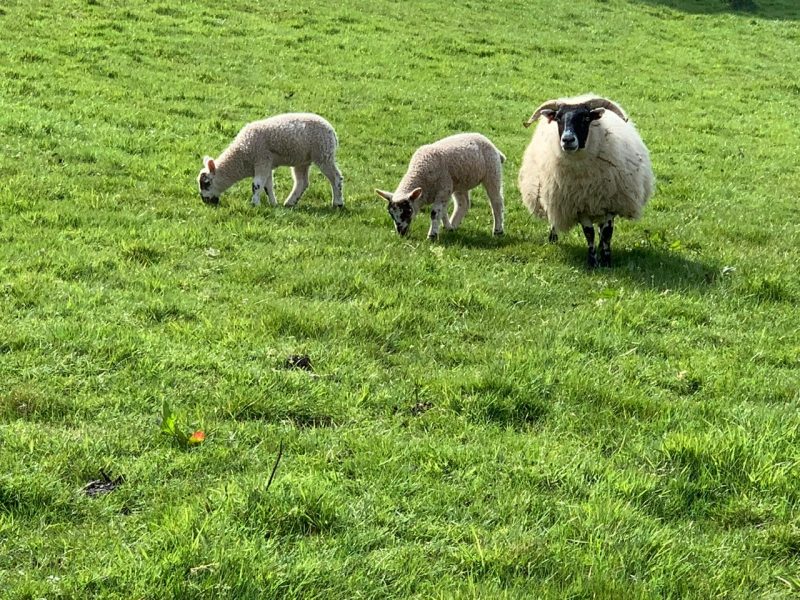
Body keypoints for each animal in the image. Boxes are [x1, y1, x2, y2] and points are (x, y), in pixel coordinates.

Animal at [197, 113, 344, 210]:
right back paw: (290, 202)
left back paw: (338, 203)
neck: (242, 156)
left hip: (324, 154)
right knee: (302, 182)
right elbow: (268, 186)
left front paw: (254, 204)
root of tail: (332, 131)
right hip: (303, 160)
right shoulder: (267, 164)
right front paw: (273, 204)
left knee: (336, 178)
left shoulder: (261, 160)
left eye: (206, 183)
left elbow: (256, 185)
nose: (205, 201)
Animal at [376, 133, 506, 239]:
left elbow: (435, 213)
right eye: (391, 214)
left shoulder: (443, 190)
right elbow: (442, 211)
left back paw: (498, 231)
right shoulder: (445, 191)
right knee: (463, 204)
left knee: (496, 202)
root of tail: (493, 146)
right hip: (460, 182)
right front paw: (447, 227)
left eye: (408, 211)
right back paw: (453, 226)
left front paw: (432, 235)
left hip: (493, 173)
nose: (401, 233)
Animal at [520, 93, 656, 268]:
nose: (567, 140)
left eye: (585, 118)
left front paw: (606, 260)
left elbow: (606, 233)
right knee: (555, 219)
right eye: (558, 118)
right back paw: (553, 238)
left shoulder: (610, 203)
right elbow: (589, 233)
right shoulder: (580, 205)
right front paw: (592, 261)